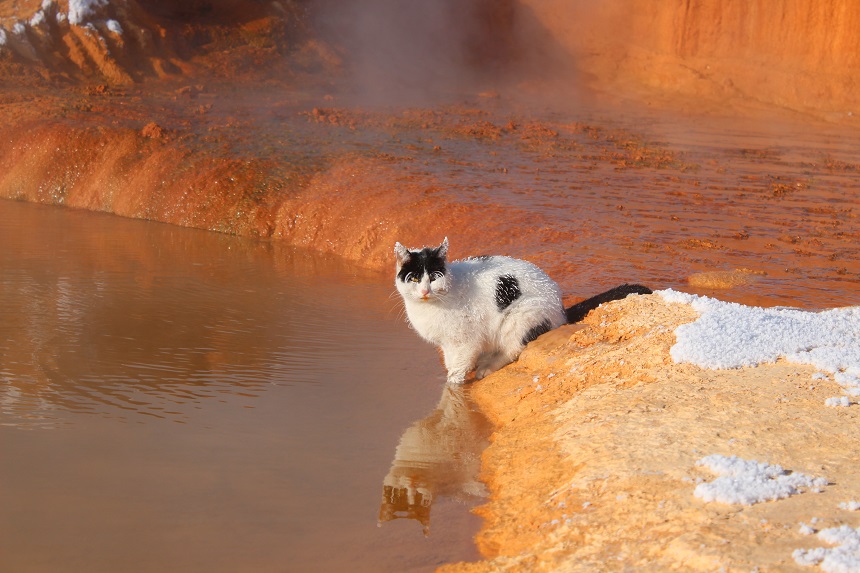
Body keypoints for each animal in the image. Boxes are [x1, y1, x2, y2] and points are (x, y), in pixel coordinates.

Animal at [394, 237, 648, 384]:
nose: (425, 290)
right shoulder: (448, 344)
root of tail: (561, 309)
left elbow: (456, 371)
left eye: (434, 278)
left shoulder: (464, 341)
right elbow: (451, 363)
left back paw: (487, 367)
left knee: (513, 349)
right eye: (414, 278)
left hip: (520, 316)